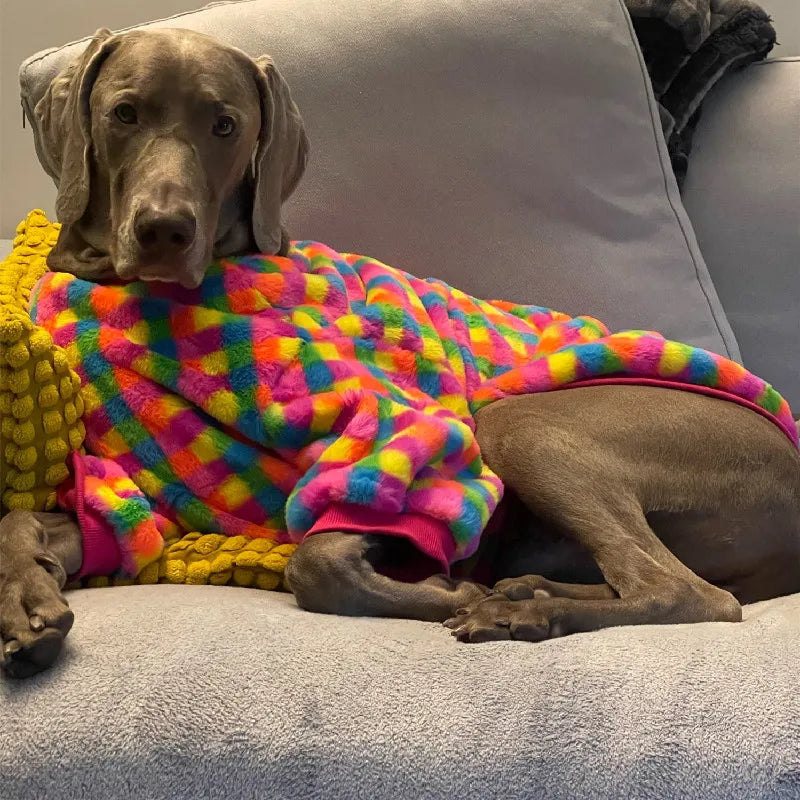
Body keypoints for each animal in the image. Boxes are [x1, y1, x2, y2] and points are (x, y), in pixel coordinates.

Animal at [1, 28, 800, 680]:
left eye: (225, 125)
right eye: (124, 114)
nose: (164, 231)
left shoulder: (401, 445)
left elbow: (318, 563)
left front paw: (453, 587)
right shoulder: (149, 507)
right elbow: (26, 522)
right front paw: (26, 606)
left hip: (522, 422)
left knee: (687, 591)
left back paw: (517, 607)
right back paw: (529, 590)